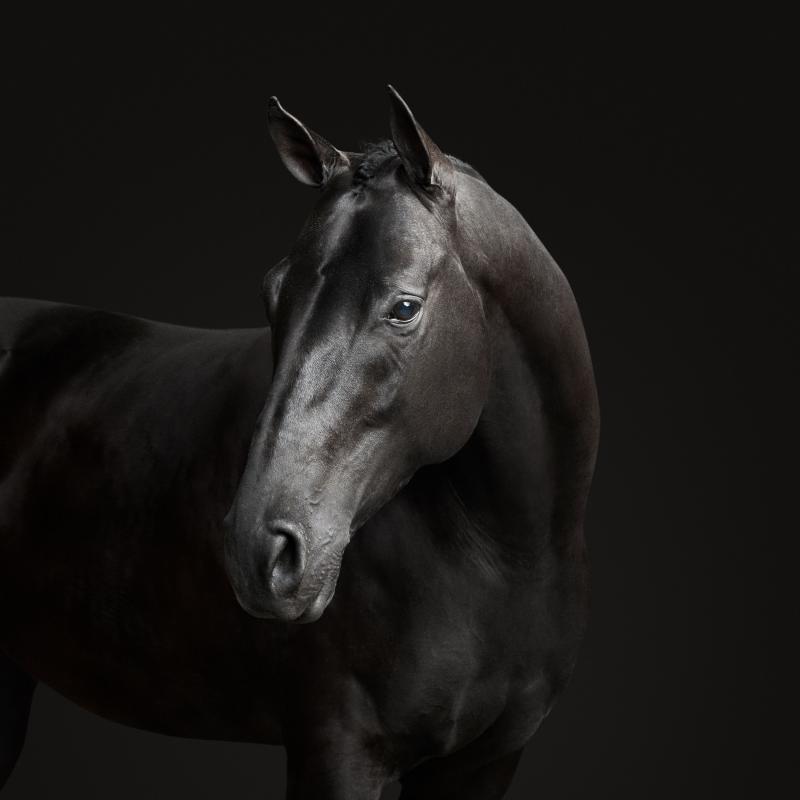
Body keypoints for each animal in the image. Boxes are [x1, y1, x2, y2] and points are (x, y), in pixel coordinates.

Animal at [0, 87, 600, 799]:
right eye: (272, 291)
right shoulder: (340, 752)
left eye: (404, 307)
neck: (503, 558)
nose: (257, 549)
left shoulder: (487, 763)